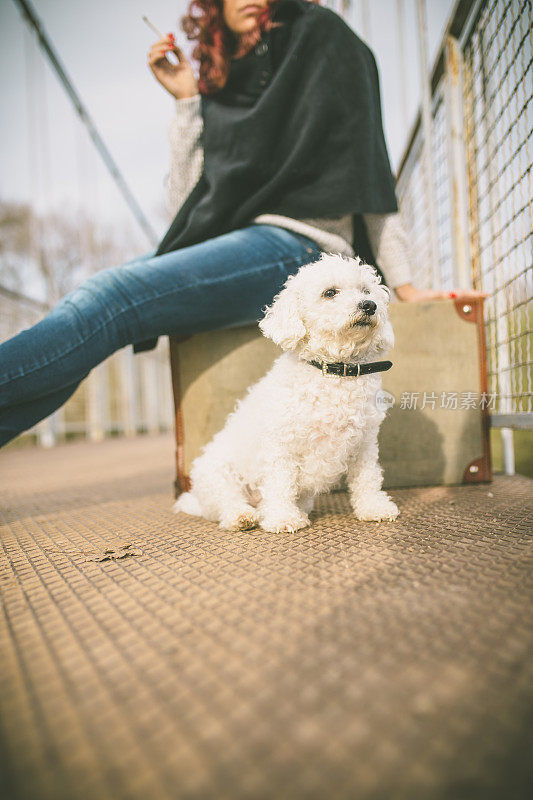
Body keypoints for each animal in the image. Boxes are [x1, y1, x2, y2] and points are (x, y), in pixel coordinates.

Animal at [175, 253, 400, 536]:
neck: (334, 372)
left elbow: (368, 478)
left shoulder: (364, 444)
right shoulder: (281, 446)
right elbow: (280, 484)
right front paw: (283, 518)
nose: (369, 305)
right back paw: (242, 516)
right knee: (227, 503)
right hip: (218, 474)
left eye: (366, 290)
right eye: (330, 293)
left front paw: (373, 507)